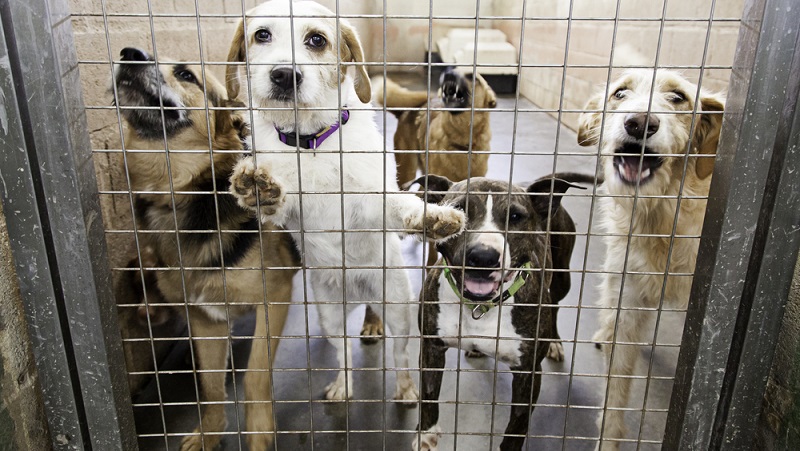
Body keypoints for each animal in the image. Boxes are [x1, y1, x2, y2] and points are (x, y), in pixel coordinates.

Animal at [223, 0, 462, 410]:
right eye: (262, 35)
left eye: (317, 39)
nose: (284, 75)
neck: (312, 142)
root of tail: (357, 293)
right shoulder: (291, 208)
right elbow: (277, 199)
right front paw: (257, 189)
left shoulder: (369, 202)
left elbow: (398, 207)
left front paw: (430, 217)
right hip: (330, 315)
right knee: (344, 353)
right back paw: (343, 385)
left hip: (398, 309)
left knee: (400, 354)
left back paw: (405, 388)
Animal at [406, 174, 588, 451]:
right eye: (459, 210)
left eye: (515, 217)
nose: (483, 257)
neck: (481, 307)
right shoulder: (431, 348)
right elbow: (428, 395)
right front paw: (426, 434)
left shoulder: (528, 372)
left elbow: (517, 424)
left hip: (561, 278)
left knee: (556, 303)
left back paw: (555, 342)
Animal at [576, 69, 724, 450]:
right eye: (620, 93)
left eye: (678, 98)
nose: (640, 123)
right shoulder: (627, 297)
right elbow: (615, 390)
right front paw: (608, 442)